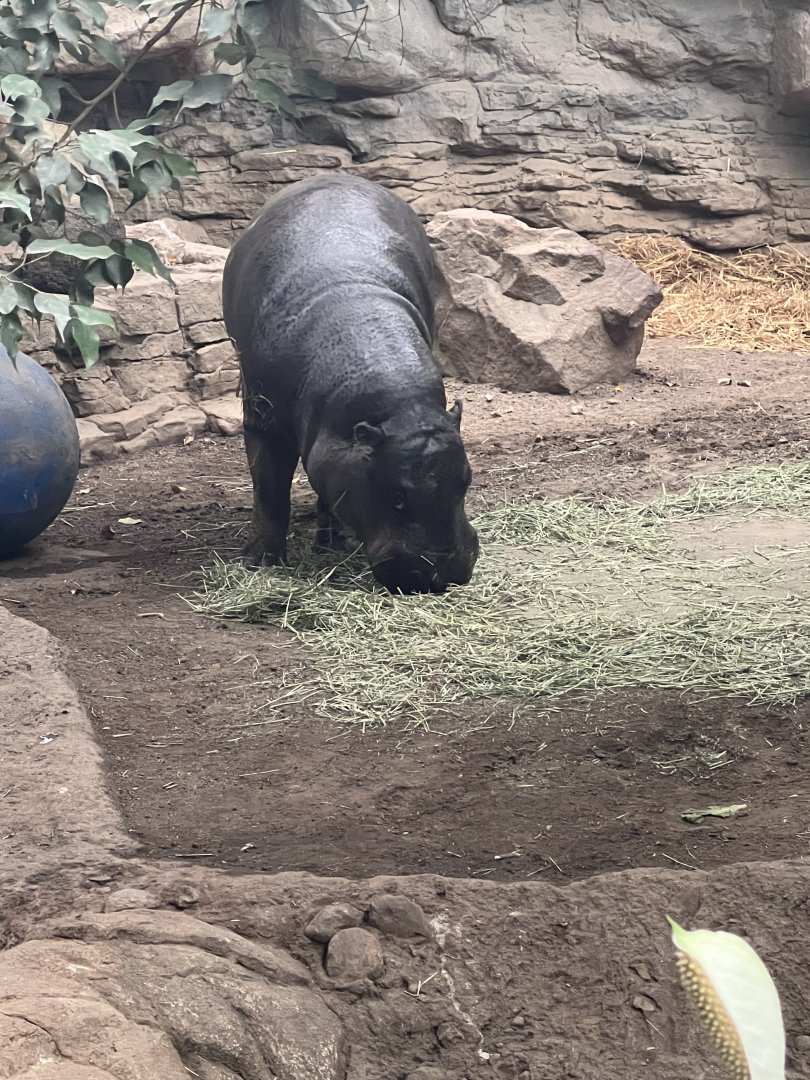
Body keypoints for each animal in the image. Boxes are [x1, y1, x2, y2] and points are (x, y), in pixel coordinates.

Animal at [221, 174, 479, 594]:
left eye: (466, 480)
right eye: (396, 494)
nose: (441, 574)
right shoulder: (263, 421)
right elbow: (269, 490)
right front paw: (261, 563)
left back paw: (331, 540)